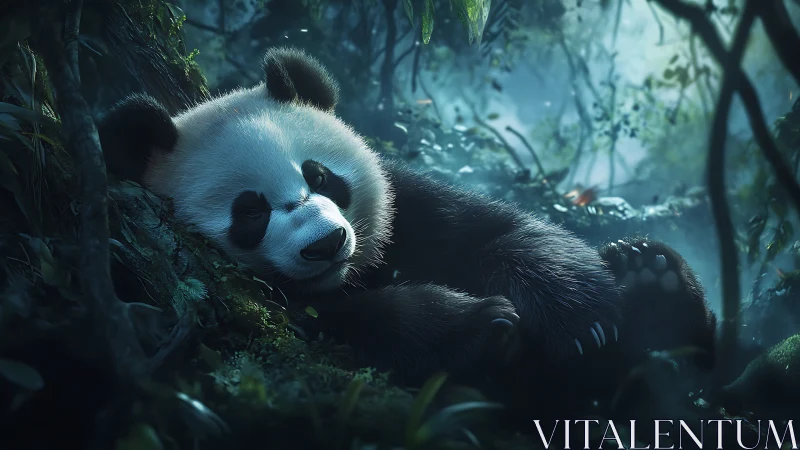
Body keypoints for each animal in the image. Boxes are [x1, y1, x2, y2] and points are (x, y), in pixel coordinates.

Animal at [98, 47, 717, 416]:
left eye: (319, 175)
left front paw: (580, 320)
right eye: (250, 212)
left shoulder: (413, 207)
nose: (327, 244)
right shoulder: (251, 311)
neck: (351, 275)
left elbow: (505, 232)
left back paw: (652, 274)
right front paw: (484, 323)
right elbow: (350, 331)